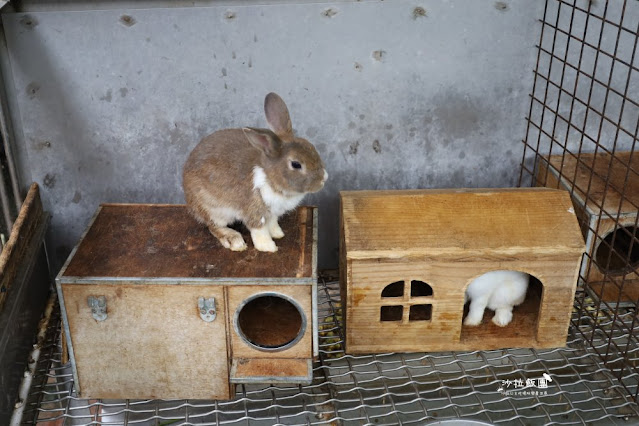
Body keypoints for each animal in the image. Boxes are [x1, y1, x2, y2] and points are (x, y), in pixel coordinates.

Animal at [182, 93, 328, 251]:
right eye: (296, 164)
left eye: (312, 147)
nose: (324, 178)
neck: (270, 178)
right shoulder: (255, 212)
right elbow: (259, 231)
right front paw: (269, 247)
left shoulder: (273, 214)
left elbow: (273, 224)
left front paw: (278, 234)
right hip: (212, 210)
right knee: (213, 226)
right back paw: (234, 240)